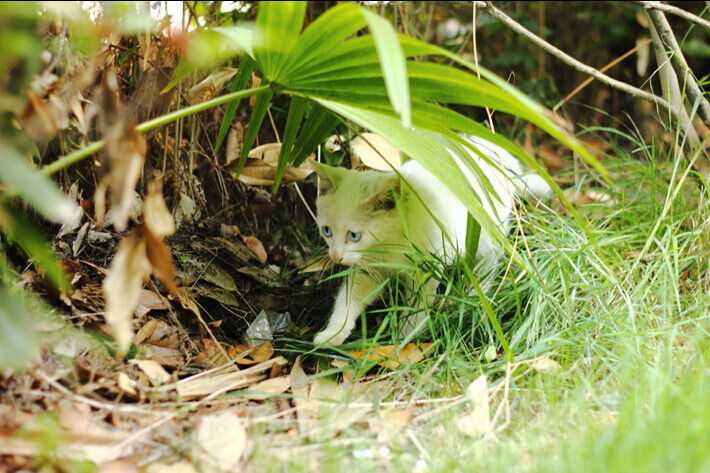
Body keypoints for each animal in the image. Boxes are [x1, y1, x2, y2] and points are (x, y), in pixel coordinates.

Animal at [314, 135, 552, 344]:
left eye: (354, 235)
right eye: (326, 231)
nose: (335, 257)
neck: (391, 241)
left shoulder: (428, 266)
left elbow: (419, 303)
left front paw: (406, 336)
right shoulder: (369, 268)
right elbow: (349, 298)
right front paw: (333, 334)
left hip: (485, 231)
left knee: (491, 261)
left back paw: (475, 293)